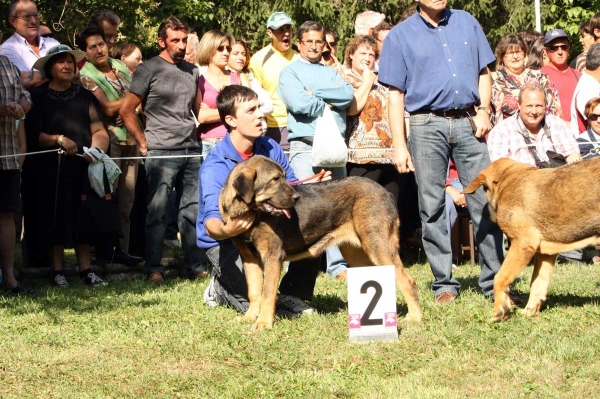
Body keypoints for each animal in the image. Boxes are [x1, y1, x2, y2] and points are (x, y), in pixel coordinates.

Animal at [219, 155, 422, 332]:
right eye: (275, 179)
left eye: (282, 177)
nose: (296, 198)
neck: (251, 212)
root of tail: (385, 191)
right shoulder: (249, 259)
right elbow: (254, 292)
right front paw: (249, 317)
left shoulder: (273, 256)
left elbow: (267, 293)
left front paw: (263, 323)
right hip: (356, 252)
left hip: (377, 245)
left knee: (407, 280)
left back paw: (415, 316)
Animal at [464, 157, 600, 322]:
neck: (508, 178)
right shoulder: (545, 254)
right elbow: (537, 284)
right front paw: (528, 312)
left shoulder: (522, 244)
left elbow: (499, 278)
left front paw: (499, 312)